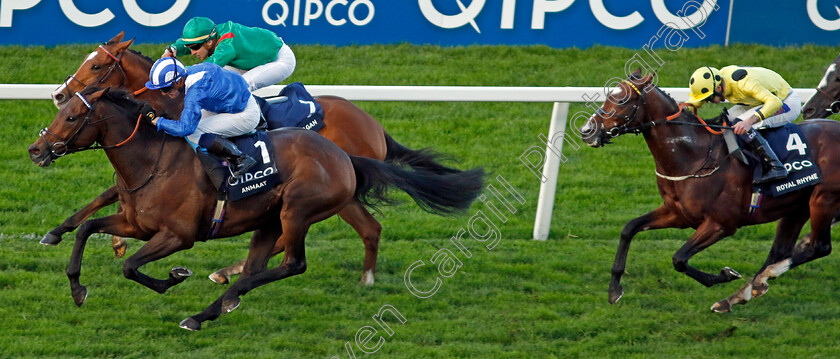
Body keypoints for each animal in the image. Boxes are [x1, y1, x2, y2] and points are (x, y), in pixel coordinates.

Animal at [26, 87, 482, 332]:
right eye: (62, 111)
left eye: (72, 117)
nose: (36, 149)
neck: (151, 160)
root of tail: (343, 157)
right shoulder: (135, 222)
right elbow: (88, 229)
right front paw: (77, 287)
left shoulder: (177, 235)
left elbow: (130, 266)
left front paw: (174, 277)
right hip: (269, 219)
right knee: (259, 266)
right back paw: (211, 308)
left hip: (297, 210)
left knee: (293, 263)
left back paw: (220, 298)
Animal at [47, 33, 460, 286]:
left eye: (96, 66)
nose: (58, 94)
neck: (172, 100)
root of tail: (373, 124)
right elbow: (107, 195)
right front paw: (64, 232)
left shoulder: (193, 138)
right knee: (357, 229)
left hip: (327, 193)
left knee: (340, 231)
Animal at [576, 72, 840, 312]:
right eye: (608, 96)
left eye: (622, 101)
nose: (587, 130)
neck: (694, 155)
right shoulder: (677, 214)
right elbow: (629, 228)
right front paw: (614, 289)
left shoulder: (721, 224)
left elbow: (679, 259)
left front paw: (724, 275)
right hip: (796, 206)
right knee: (781, 250)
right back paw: (740, 294)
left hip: (823, 199)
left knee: (819, 247)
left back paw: (759, 281)